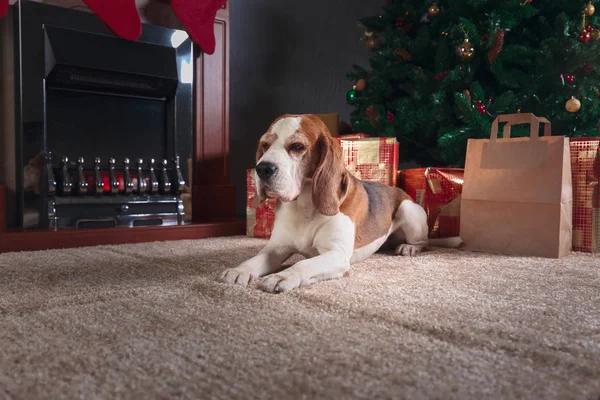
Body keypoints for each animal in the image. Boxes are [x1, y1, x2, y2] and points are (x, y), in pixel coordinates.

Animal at [219, 114, 460, 292]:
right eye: (265, 145)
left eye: (297, 146)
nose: (262, 169)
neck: (304, 205)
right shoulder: (275, 248)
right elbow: (256, 259)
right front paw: (239, 270)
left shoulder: (336, 255)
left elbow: (302, 263)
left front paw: (283, 276)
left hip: (409, 210)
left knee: (424, 242)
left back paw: (409, 247)